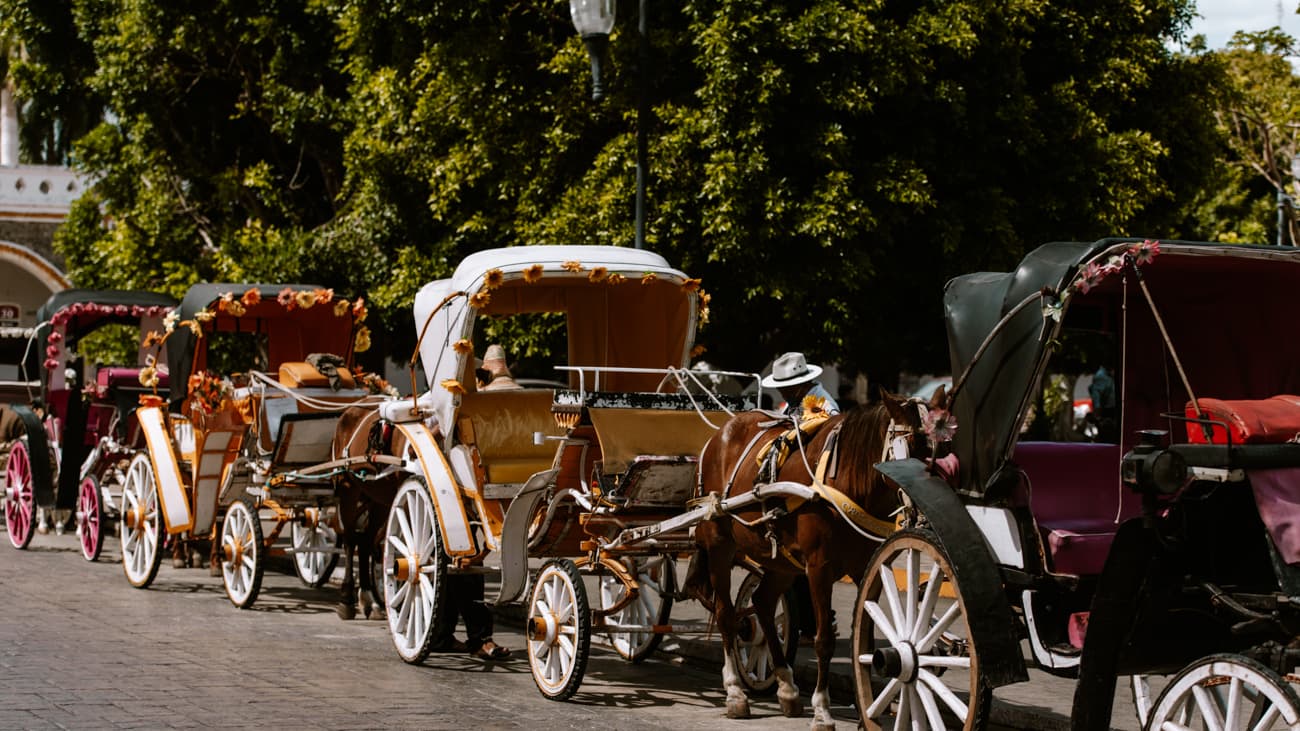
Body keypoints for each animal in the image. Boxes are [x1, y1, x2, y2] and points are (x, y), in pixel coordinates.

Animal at [691, 387, 946, 723]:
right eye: (914, 447)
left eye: (941, 451)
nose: (929, 510)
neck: (846, 480)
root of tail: (718, 436)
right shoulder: (819, 567)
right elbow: (824, 640)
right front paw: (823, 710)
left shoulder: (864, 566)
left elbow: (863, 638)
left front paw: (865, 705)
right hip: (719, 544)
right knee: (726, 615)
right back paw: (735, 692)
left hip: (782, 562)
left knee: (762, 602)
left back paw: (787, 688)